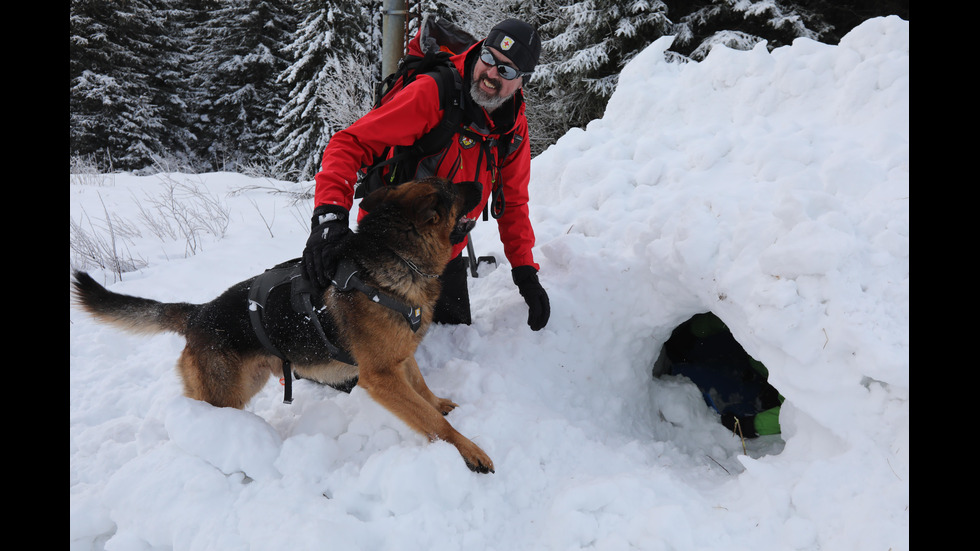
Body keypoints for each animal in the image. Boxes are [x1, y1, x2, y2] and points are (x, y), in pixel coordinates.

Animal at [72, 178, 494, 474]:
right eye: (453, 187)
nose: (481, 184)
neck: (394, 261)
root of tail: (198, 313)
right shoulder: (381, 378)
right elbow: (431, 421)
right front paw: (468, 451)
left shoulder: (401, 358)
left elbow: (423, 391)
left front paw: (440, 403)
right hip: (225, 393)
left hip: (246, 383)